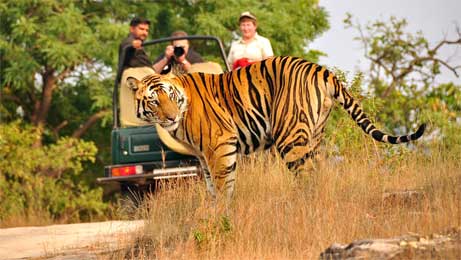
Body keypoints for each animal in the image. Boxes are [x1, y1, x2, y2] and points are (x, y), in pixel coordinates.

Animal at [125, 56, 424, 199]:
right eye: (154, 101)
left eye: (170, 96)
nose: (170, 117)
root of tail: (321, 69)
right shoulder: (203, 155)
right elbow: (212, 187)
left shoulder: (220, 146)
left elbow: (223, 187)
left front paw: (222, 217)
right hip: (314, 135)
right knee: (319, 172)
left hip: (290, 137)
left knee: (307, 176)